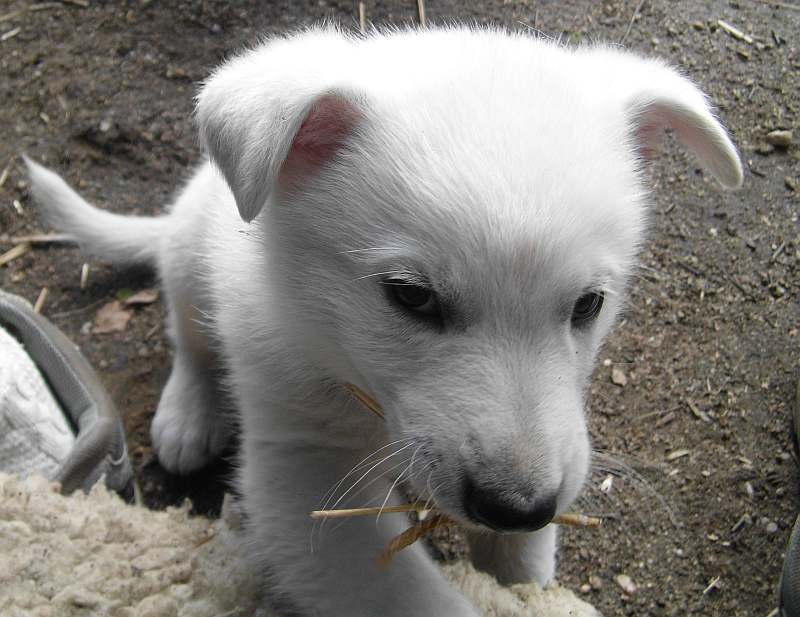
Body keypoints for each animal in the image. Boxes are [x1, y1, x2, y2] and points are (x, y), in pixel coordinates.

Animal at [29, 26, 744, 612]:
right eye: (411, 296)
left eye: (589, 304)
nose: (519, 508)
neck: (336, 352)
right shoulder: (304, 477)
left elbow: (520, 571)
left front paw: (524, 575)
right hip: (186, 260)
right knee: (190, 338)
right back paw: (187, 412)